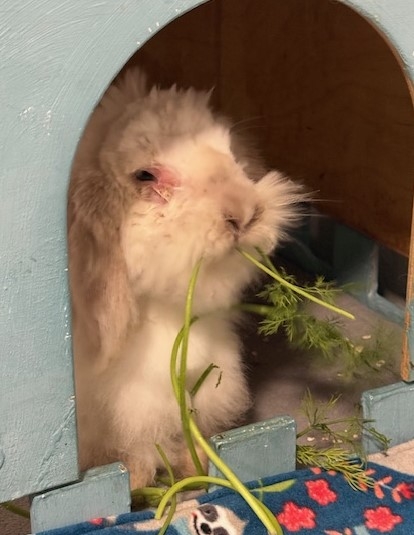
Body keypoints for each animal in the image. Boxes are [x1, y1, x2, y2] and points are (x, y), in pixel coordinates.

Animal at [68, 68, 305, 489]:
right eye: (145, 175)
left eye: (231, 153)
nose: (244, 214)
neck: (166, 314)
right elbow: (136, 451)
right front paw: (137, 479)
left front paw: (196, 466)